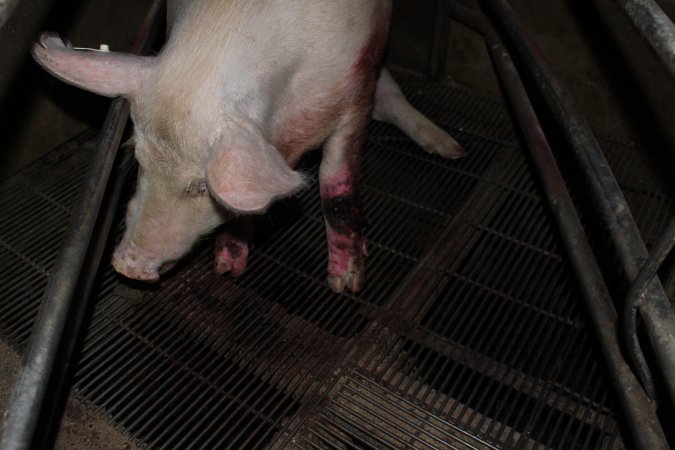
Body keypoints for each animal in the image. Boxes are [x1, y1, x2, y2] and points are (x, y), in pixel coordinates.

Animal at [31, 0, 464, 294]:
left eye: (200, 186)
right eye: (141, 163)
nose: (126, 265)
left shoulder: (352, 95)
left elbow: (336, 188)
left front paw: (346, 283)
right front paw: (228, 269)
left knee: (388, 93)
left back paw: (450, 149)